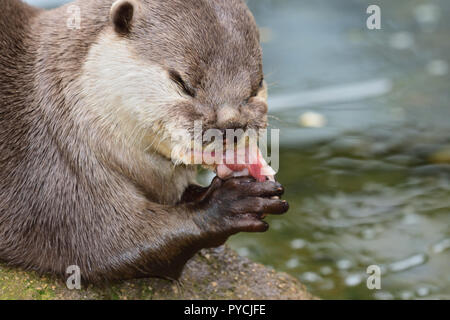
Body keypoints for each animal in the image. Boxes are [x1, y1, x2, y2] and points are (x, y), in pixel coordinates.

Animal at [0, 0, 288, 284]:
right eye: (183, 83)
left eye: (256, 86)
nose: (231, 124)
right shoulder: (57, 187)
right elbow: (107, 243)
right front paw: (230, 203)